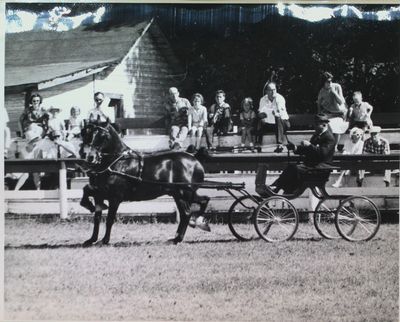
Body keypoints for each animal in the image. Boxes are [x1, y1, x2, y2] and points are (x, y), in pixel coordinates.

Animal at [78, 122, 209, 245]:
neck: (117, 163)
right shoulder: (99, 194)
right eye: (86, 133)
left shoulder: (115, 198)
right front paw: (91, 238)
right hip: (181, 195)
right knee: (198, 204)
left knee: (191, 210)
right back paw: (188, 230)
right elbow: (95, 213)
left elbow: (109, 219)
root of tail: (195, 159)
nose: (88, 156)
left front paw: (104, 240)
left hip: (184, 194)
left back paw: (185, 232)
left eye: (103, 136)